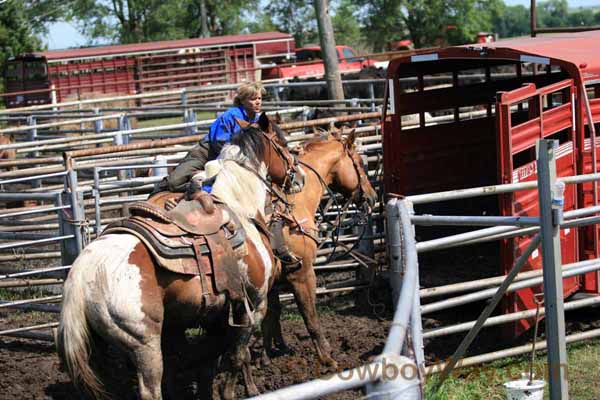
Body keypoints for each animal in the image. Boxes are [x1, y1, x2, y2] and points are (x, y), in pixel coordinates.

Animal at [55, 114, 298, 398]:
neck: (240, 209)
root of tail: (83, 272)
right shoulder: (255, 303)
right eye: (283, 142)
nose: (299, 176)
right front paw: (231, 391)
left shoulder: (217, 314)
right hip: (144, 343)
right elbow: (237, 355)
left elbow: (213, 360)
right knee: (150, 388)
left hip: (101, 348)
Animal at [262, 128, 376, 368]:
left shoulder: (272, 282)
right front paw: (327, 357)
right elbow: (310, 315)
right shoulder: (302, 273)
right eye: (360, 163)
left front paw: (270, 354)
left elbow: (270, 316)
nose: (372, 197)